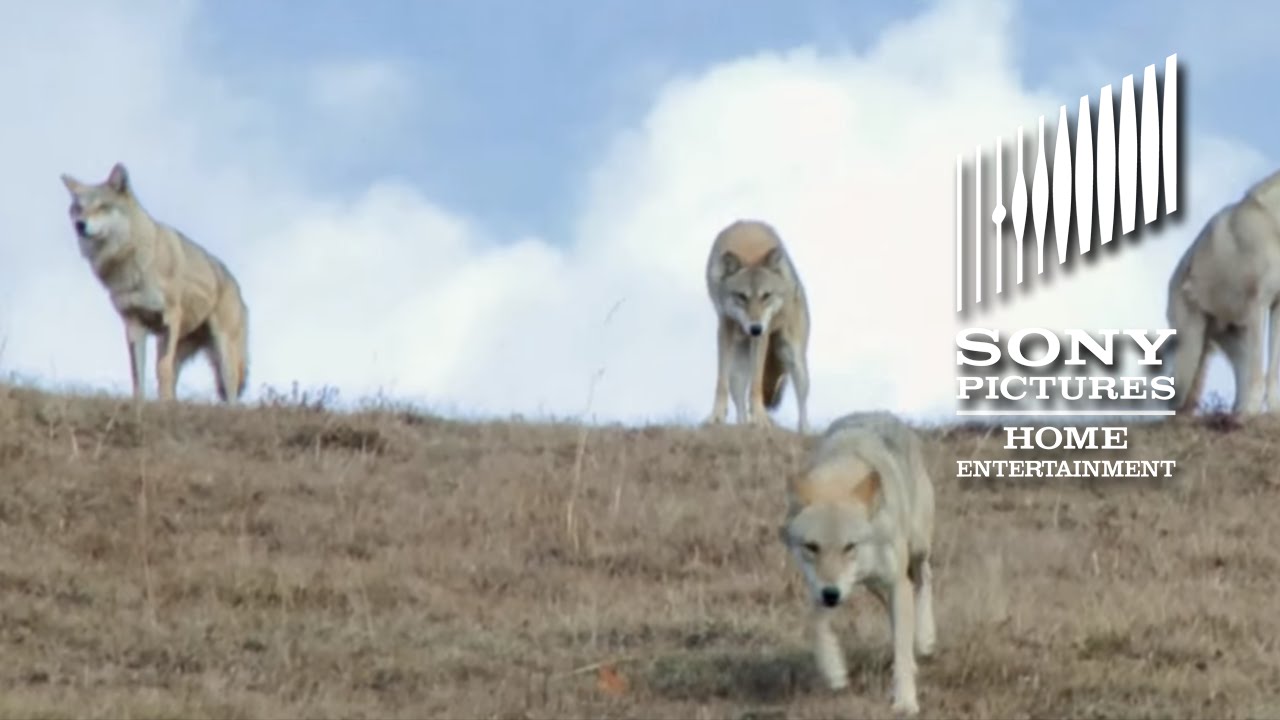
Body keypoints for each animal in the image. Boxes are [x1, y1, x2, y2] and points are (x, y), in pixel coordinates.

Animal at [60, 162, 250, 403]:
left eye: (103, 206)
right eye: (78, 208)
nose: (79, 225)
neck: (130, 263)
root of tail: (234, 282)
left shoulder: (170, 318)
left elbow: (161, 369)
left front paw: (164, 406)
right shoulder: (133, 324)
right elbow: (137, 374)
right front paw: (140, 404)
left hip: (222, 352)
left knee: (231, 391)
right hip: (172, 344)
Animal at [704, 219, 811, 433]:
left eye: (766, 296)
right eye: (742, 296)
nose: (754, 329)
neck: (749, 248)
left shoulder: (764, 334)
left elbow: (756, 382)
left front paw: (760, 418)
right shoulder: (725, 326)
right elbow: (721, 381)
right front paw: (717, 416)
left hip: (793, 357)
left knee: (802, 399)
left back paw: (804, 430)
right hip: (739, 365)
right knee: (737, 393)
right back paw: (742, 424)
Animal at [779, 411, 936, 716]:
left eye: (849, 546)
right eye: (812, 547)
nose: (831, 595)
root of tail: (883, 413)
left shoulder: (895, 582)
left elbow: (901, 649)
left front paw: (905, 702)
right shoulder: (820, 587)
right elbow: (815, 625)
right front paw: (834, 671)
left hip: (917, 549)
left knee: (924, 577)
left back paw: (925, 639)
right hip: (874, 585)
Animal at [1166, 167, 1280, 415]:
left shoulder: (1278, 305)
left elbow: (1272, 372)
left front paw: (1274, 412)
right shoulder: (1258, 305)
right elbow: (1259, 371)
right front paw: (1252, 414)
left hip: (1233, 344)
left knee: (1239, 385)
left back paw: (1235, 412)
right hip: (1190, 353)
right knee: (1175, 404)